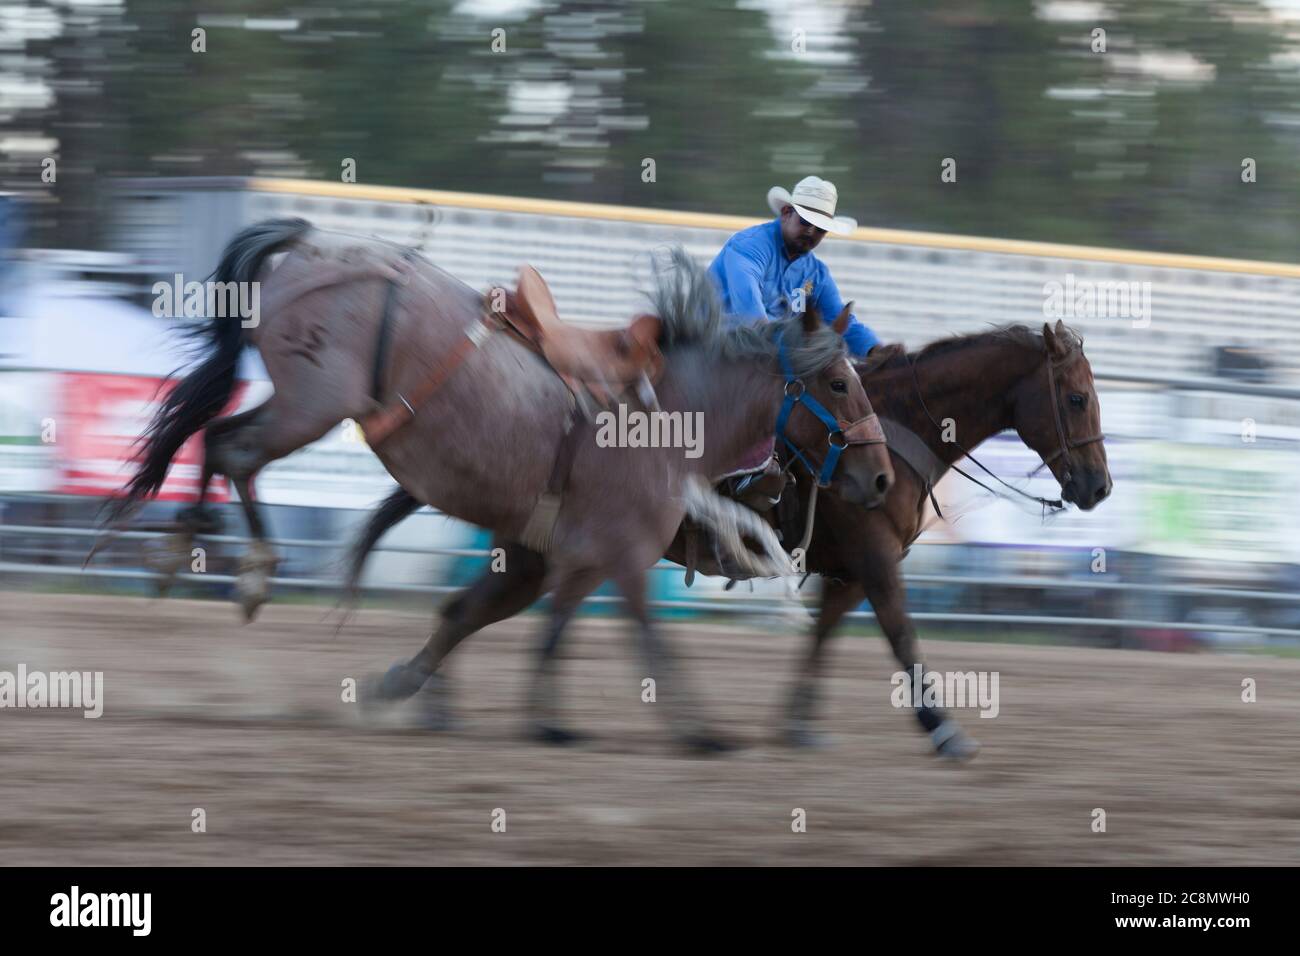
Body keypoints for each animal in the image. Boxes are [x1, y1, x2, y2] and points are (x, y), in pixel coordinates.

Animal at [104, 221, 894, 749]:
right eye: (835, 382)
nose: (882, 475)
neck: (671, 413)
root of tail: (310, 244)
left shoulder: (553, 557)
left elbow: (508, 622)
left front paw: (429, 694)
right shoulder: (618, 553)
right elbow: (643, 638)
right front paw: (695, 730)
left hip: (304, 410)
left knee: (218, 442)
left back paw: (200, 556)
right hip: (310, 407)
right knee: (234, 451)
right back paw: (238, 569)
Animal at [351, 321, 1112, 764]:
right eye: (1076, 398)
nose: (1098, 486)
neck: (893, 430)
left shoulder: (849, 572)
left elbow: (822, 637)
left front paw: (797, 723)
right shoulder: (874, 562)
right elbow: (902, 636)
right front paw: (943, 728)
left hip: (529, 561)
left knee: (462, 610)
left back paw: (419, 696)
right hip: (542, 559)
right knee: (475, 611)